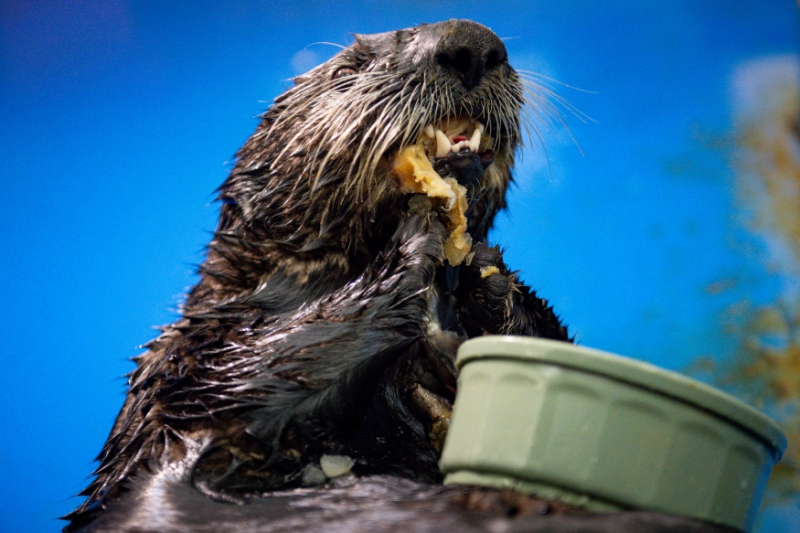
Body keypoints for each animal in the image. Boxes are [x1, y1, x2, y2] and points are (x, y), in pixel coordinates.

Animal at [64, 20, 731, 533]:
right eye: (350, 67)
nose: (471, 44)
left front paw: (491, 289)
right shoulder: (177, 377)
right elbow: (245, 377)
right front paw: (418, 243)